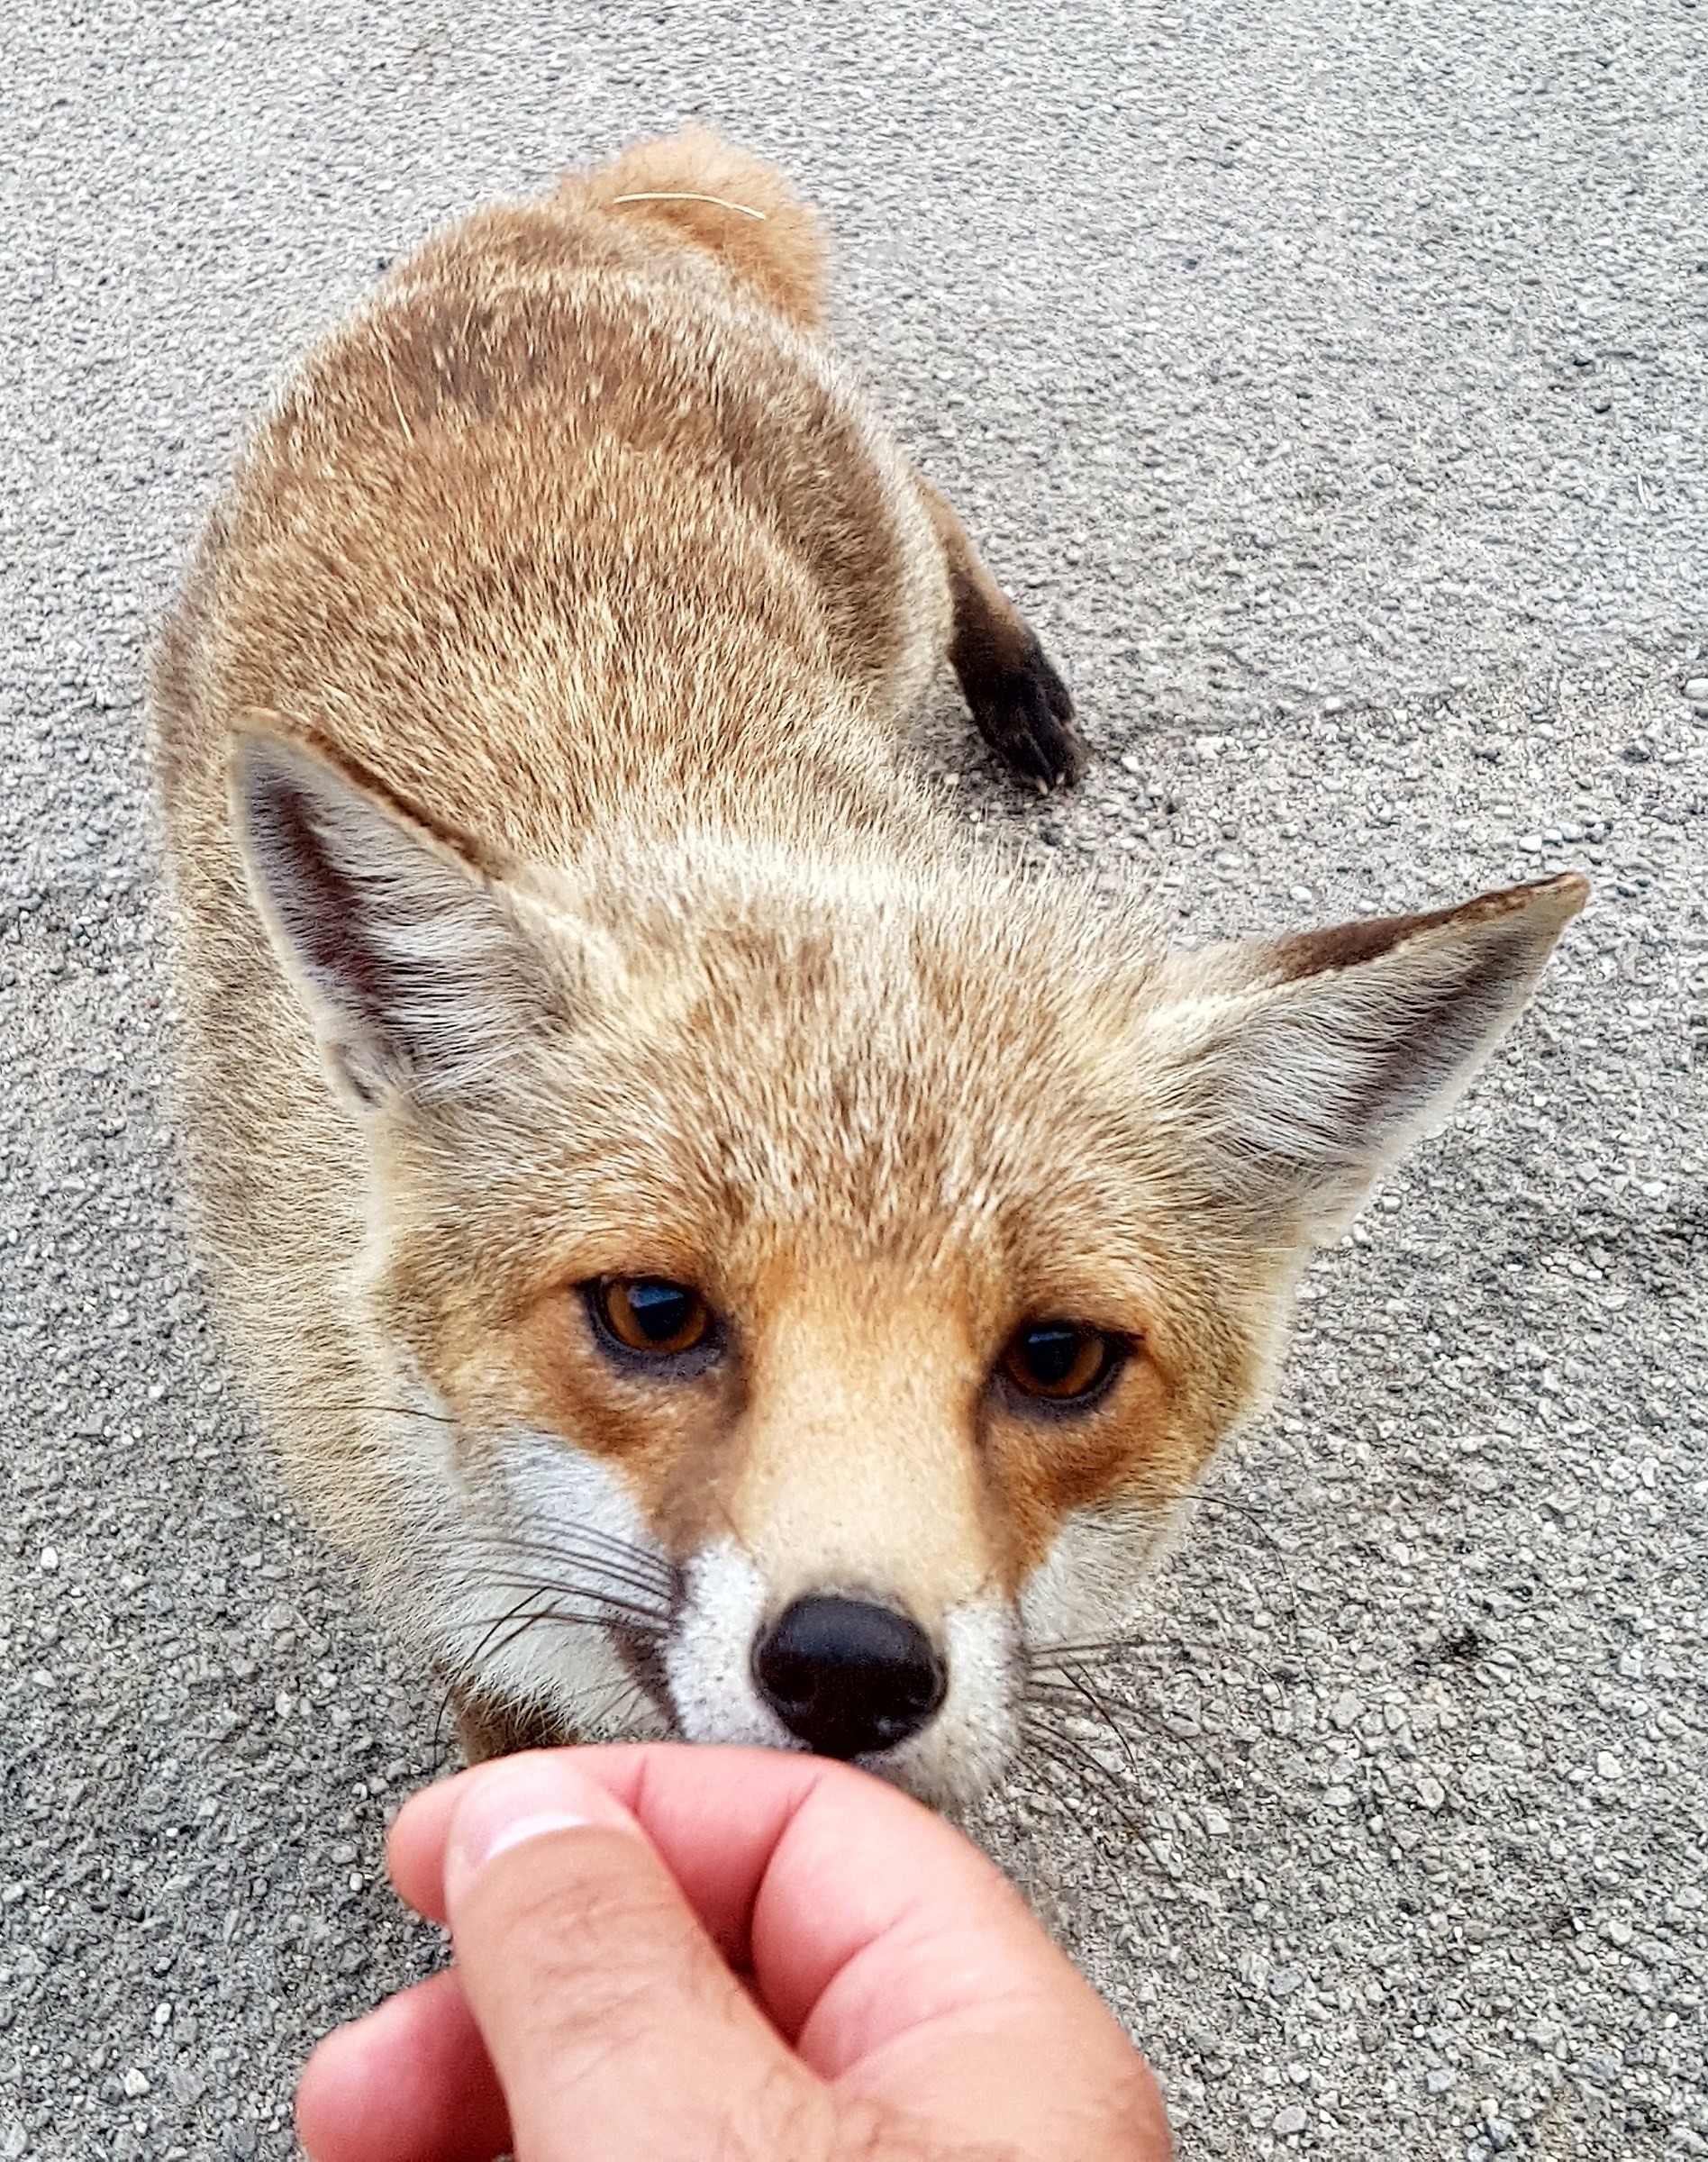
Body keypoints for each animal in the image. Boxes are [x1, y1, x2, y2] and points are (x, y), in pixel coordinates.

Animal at [151, 128, 1586, 1806]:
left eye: (1058, 1357)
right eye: (653, 1315)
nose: (851, 1671)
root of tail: (544, 231)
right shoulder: (441, 1587)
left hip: (882, 577)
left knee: (936, 511)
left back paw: (1016, 680)